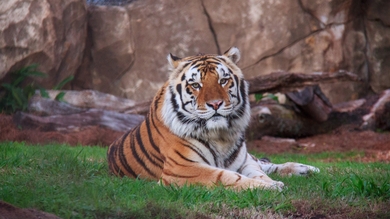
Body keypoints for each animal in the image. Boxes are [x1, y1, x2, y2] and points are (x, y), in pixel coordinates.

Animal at [107, 47, 320, 190]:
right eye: (195, 85)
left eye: (223, 80)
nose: (216, 104)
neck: (220, 136)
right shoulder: (183, 169)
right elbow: (227, 177)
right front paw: (270, 188)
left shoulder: (244, 161)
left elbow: (258, 172)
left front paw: (272, 183)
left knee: (265, 163)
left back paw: (308, 169)